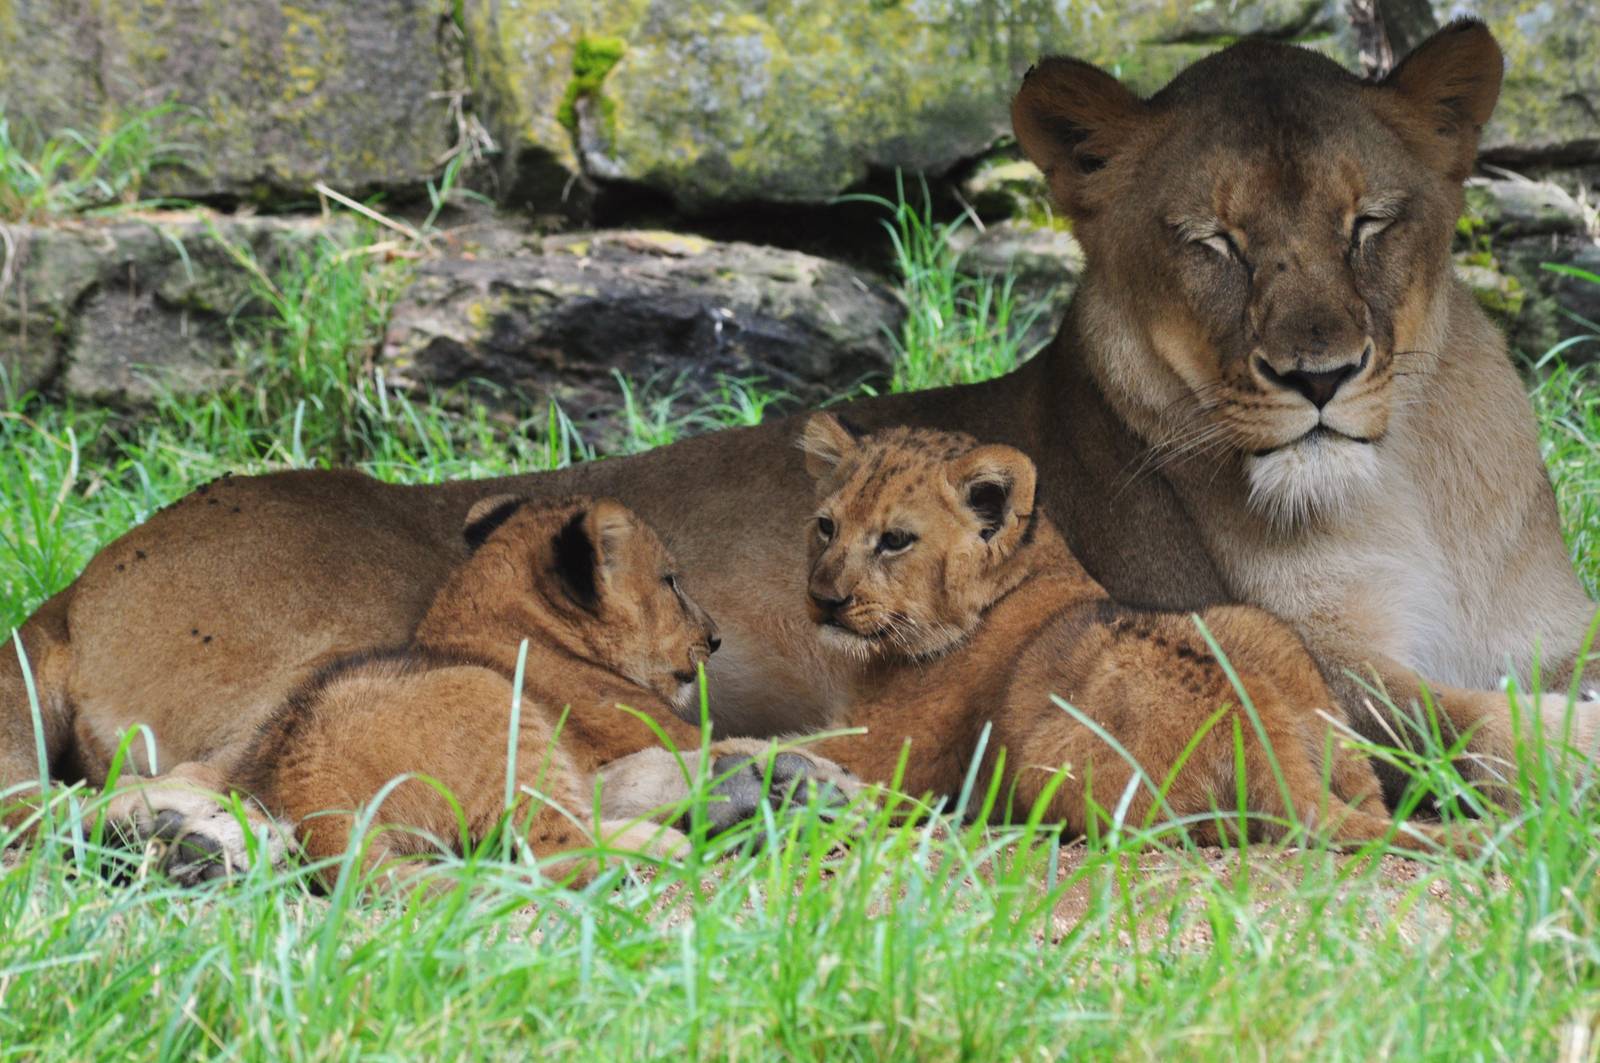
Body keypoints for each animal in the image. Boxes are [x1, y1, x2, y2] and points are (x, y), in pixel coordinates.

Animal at [4, 21, 1594, 842]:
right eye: (1212, 240)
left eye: (1371, 222)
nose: (1319, 373)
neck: (1408, 490)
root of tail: (74, 586)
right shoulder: (1281, 639)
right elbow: (1465, 718)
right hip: (369, 627)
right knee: (225, 780)